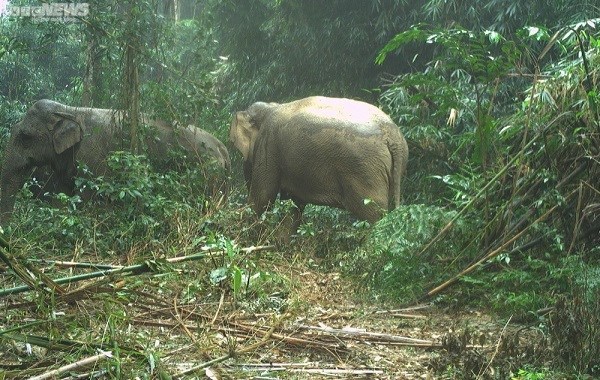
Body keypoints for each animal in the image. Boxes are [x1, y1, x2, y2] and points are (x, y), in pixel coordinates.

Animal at [0, 98, 230, 223]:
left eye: (25, 137)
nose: (8, 231)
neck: (69, 110)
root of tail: (223, 147)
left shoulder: (93, 156)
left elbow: (91, 197)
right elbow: (63, 194)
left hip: (207, 172)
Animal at [229, 95, 408, 235]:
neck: (270, 107)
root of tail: (392, 135)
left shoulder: (268, 145)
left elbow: (262, 198)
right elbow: (296, 205)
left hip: (365, 169)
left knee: (372, 215)